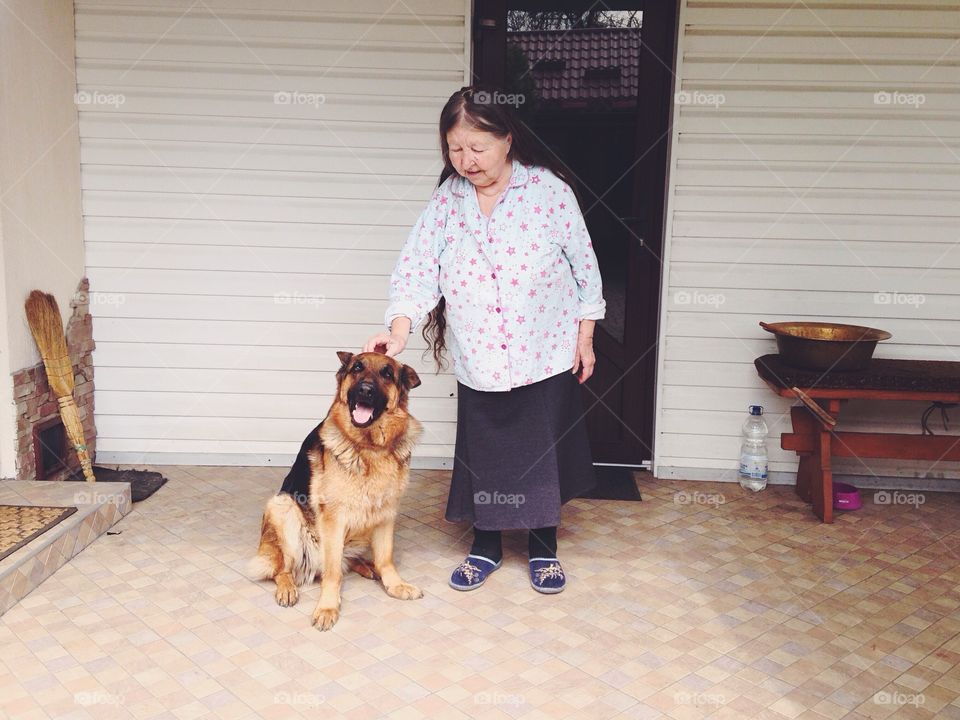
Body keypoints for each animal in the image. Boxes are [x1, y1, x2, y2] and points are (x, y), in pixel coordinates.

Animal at [249, 350, 422, 632]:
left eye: (387, 373)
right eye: (357, 368)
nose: (365, 390)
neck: (370, 448)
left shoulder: (386, 514)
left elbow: (386, 558)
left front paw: (394, 584)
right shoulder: (333, 519)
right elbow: (332, 574)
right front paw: (328, 607)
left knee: (347, 560)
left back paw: (368, 566)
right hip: (282, 507)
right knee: (285, 568)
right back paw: (287, 588)